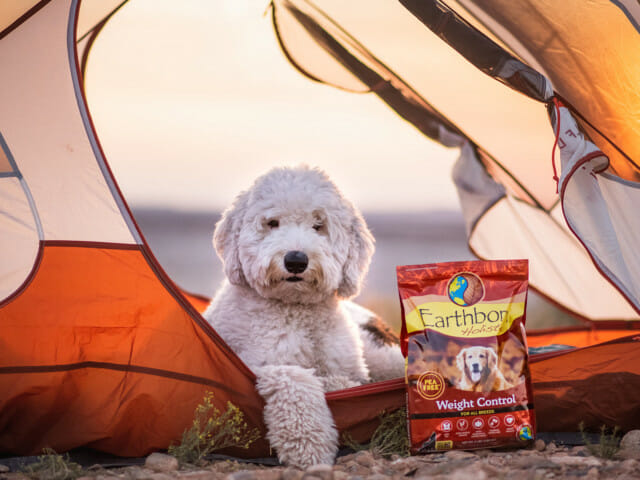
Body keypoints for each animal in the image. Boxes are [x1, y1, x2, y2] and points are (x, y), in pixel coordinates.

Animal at [202, 166, 402, 468]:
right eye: (272, 223)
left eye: (319, 225)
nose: (296, 260)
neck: (297, 309)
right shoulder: (263, 362)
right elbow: (295, 381)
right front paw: (310, 446)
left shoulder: (348, 365)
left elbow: (346, 379)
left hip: (379, 352)